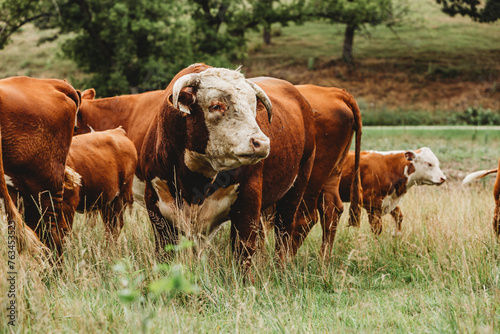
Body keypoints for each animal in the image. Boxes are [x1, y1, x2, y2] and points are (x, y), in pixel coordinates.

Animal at [139, 64, 314, 268]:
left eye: (253, 108)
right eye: (216, 106)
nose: (262, 143)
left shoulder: (247, 203)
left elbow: (243, 252)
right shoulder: (156, 207)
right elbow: (164, 253)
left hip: (296, 187)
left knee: (284, 232)